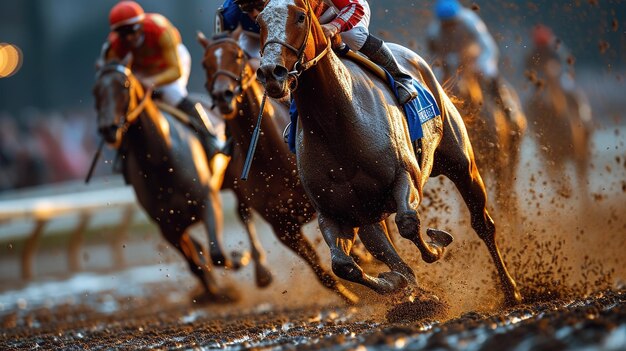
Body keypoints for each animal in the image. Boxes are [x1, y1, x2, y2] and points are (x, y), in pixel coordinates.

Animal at [92, 59, 236, 304]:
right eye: (95, 91)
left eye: (125, 85)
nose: (108, 129)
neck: (162, 161)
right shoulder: (167, 226)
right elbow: (195, 264)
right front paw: (213, 291)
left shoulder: (208, 200)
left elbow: (217, 253)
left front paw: (238, 258)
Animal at [197, 31, 358, 304]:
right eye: (205, 64)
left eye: (237, 56)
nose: (222, 95)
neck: (269, 157)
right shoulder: (282, 226)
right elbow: (321, 272)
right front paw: (353, 298)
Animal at [251, 0, 520, 306]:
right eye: (259, 22)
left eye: (300, 16)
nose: (271, 72)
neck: (336, 124)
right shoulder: (337, 212)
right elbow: (345, 265)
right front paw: (399, 285)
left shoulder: (405, 177)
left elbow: (408, 223)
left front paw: (437, 242)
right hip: (370, 213)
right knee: (381, 247)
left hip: (463, 165)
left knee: (482, 223)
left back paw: (511, 290)